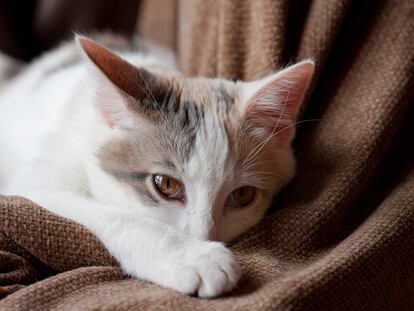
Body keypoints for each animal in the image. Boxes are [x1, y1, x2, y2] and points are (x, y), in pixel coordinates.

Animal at [0, 34, 312, 300]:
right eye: (167, 184)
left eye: (243, 195)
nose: (202, 238)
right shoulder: (32, 183)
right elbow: (108, 213)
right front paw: (194, 257)